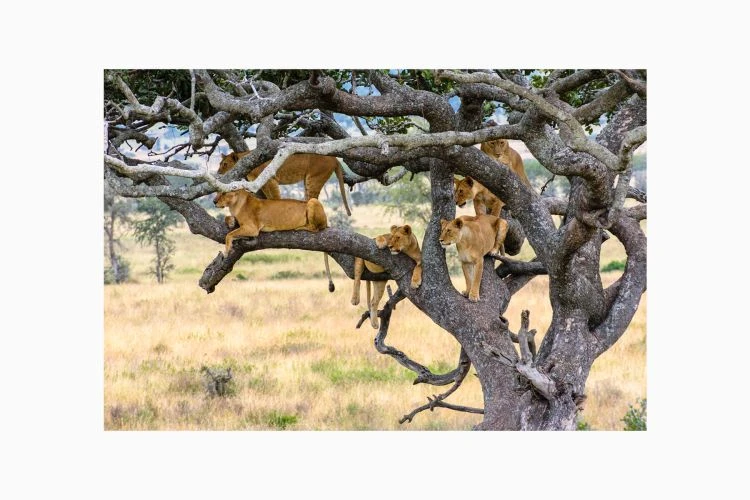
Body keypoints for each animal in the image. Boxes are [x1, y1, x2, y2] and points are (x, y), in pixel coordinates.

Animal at [218, 151, 352, 216]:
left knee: (313, 198)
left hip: (314, 178)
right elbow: (269, 198)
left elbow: (275, 197)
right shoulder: (263, 183)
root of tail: (334, 158)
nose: (218, 173)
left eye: (225, 164)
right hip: (307, 180)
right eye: (220, 164)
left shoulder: (270, 180)